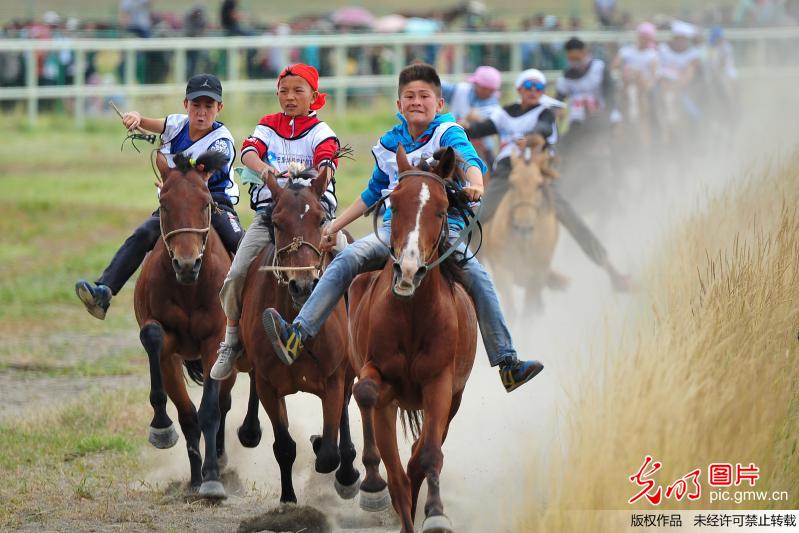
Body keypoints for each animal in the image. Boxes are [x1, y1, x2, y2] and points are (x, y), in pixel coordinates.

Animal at [134, 151, 247, 498]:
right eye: (165, 203)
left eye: (206, 202)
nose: (187, 263)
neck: (189, 287)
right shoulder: (168, 349)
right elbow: (186, 415)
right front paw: (162, 429)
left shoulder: (214, 343)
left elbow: (209, 411)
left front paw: (211, 479)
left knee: (223, 403)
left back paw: (221, 461)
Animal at [236, 167, 360, 502]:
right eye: (277, 222)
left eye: (320, 218)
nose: (302, 285)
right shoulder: (269, 384)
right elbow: (284, 446)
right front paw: (288, 500)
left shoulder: (333, 378)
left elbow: (329, 452)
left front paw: (325, 449)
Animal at [348, 145, 476, 532]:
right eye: (395, 202)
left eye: (442, 209)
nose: (408, 269)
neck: (412, 316)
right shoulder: (380, 382)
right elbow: (366, 392)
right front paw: (376, 484)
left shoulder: (440, 384)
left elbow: (429, 452)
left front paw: (435, 513)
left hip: (454, 398)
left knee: (421, 454)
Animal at [482, 134, 564, 316]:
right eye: (512, 183)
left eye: (539, 184)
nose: (523, 227)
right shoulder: (503, 271)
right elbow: (510, 310)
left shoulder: (537, 276)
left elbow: (529, 312)